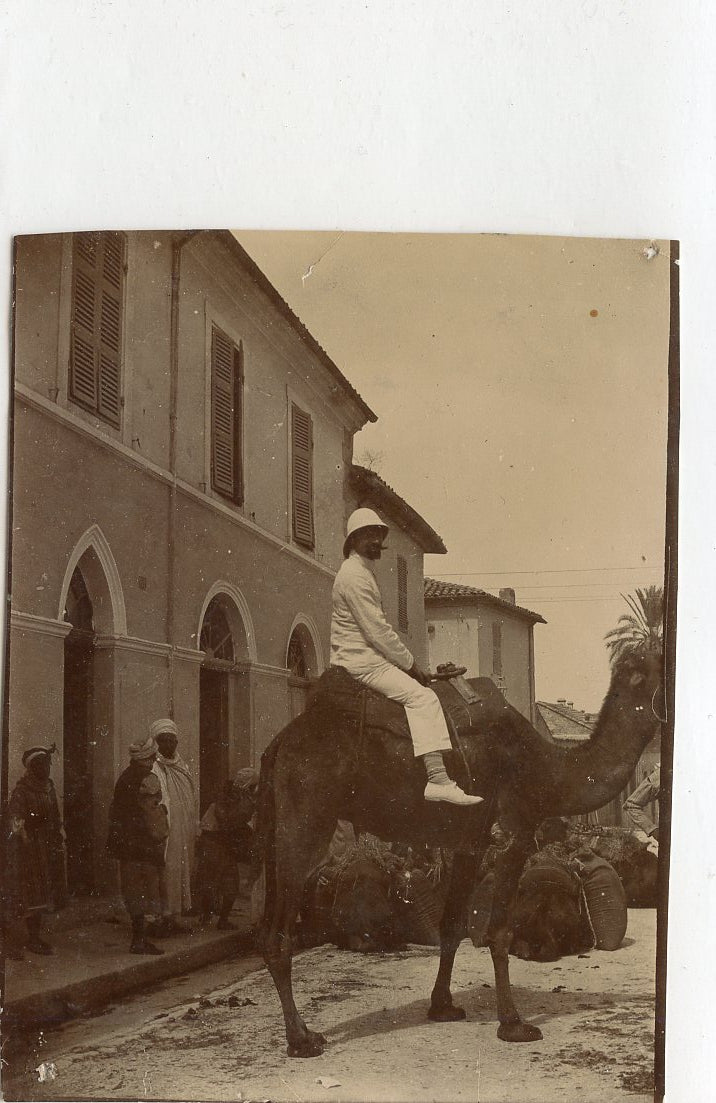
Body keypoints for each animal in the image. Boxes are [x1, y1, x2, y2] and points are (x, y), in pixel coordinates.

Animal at [253, 648, 661, 1054]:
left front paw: (442, 1006)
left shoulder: (471, 843)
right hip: (305, 818)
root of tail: (278, 746)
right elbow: (499, 931)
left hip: (277, 828)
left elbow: (453, 925)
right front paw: (513, 1023)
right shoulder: (514, 833)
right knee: (279, 933)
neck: (547, 769)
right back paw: (301, 1039)